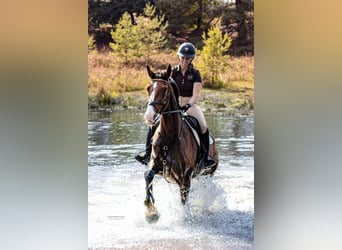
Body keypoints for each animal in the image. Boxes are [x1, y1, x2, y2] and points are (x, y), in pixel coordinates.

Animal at [142, 64, 219, 221]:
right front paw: (151, 211)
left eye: (164, 90)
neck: (170, 137)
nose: (149, 116)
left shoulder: (185, 176)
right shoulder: (156, 165)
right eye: (148, 88)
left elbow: (184, 199)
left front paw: (184, 218)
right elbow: (148, 175)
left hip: (207, 173)